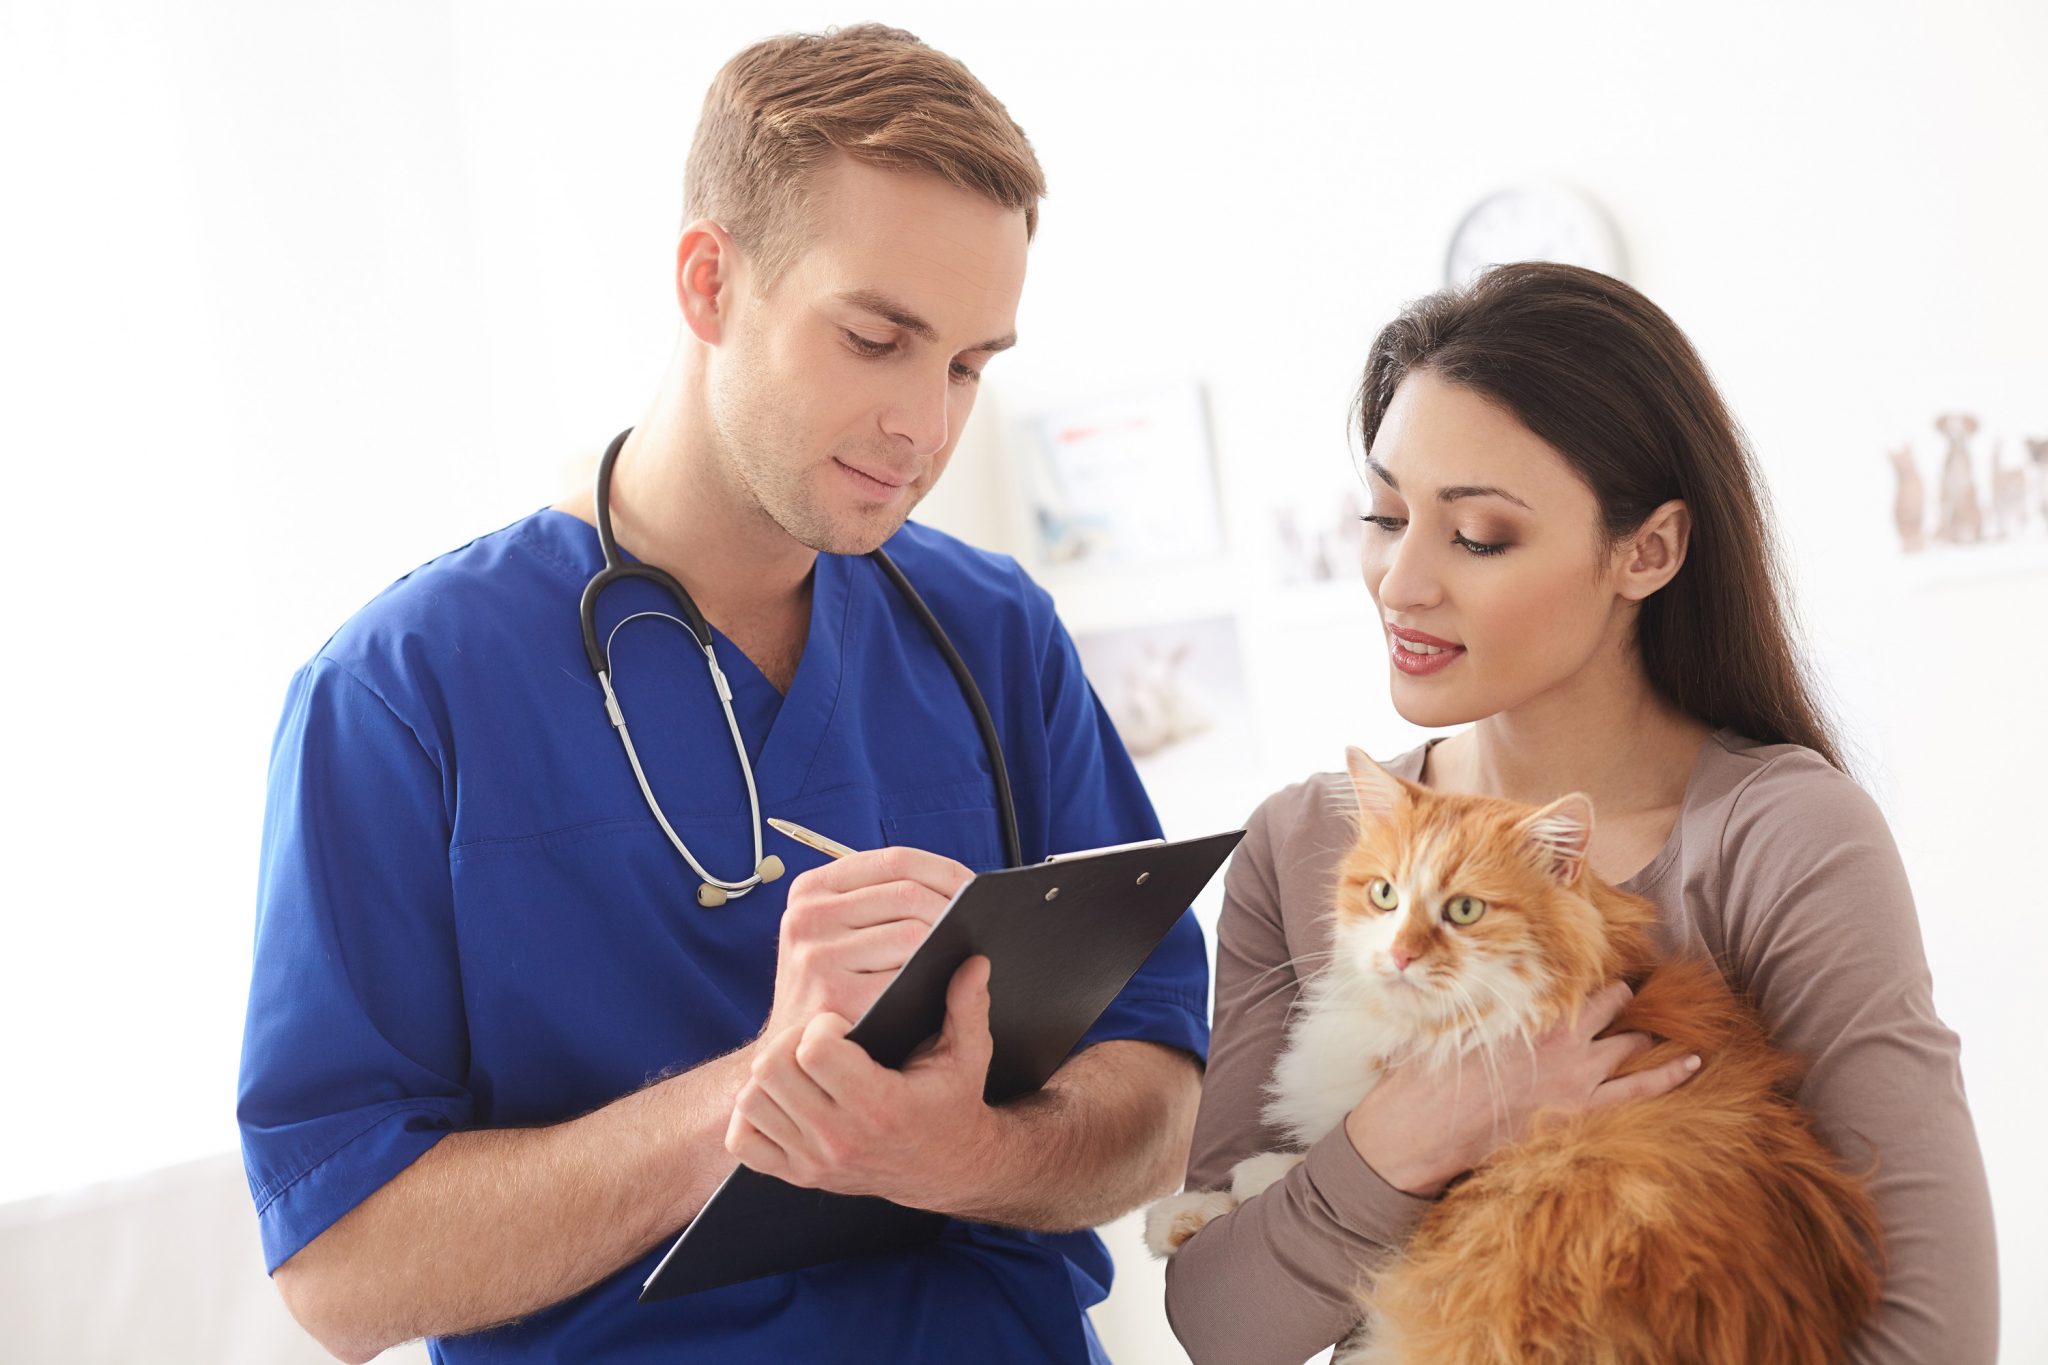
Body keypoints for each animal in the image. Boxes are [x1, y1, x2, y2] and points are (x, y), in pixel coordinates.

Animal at [1146, 749, 1875, 1365]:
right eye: (1384, 894)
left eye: (1465, 909)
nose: (1400, 954)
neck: (1434, 1031)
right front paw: (1188, 1213)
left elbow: (1319, 1167)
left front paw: (1250, 1179)